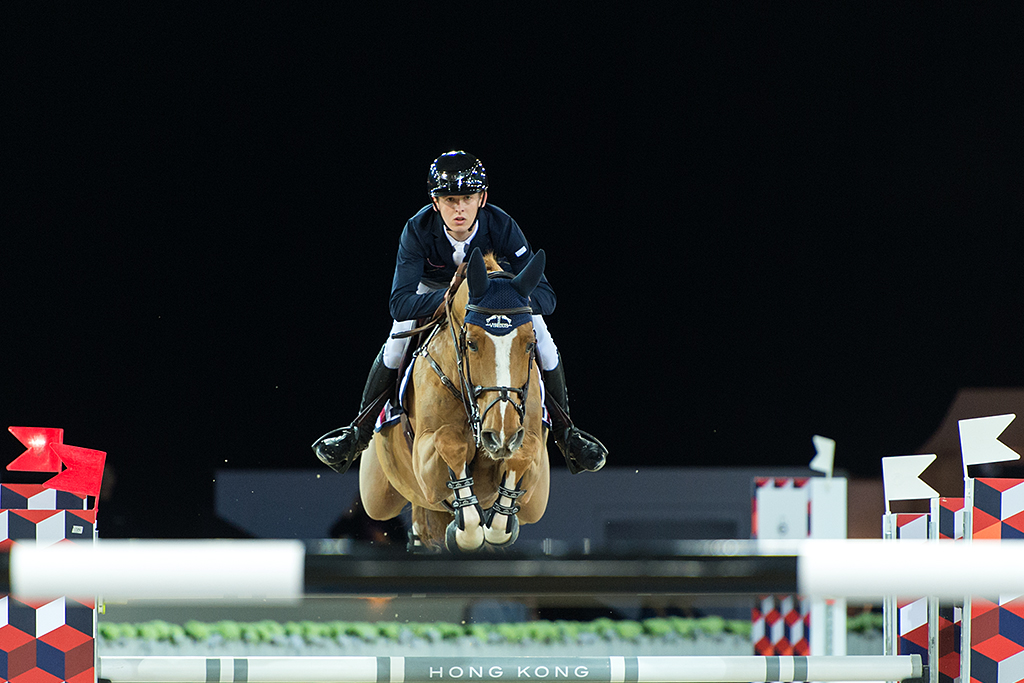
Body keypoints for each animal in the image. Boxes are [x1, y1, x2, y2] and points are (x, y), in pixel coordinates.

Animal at [358, 248, 551, 552]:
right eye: (471, 343)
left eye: (530, 344)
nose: (500, 435)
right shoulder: (425, 456)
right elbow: (449, 442)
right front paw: (466, 531)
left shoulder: (530, 453)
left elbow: (523, 452)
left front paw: (497, 525)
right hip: (377, 496)